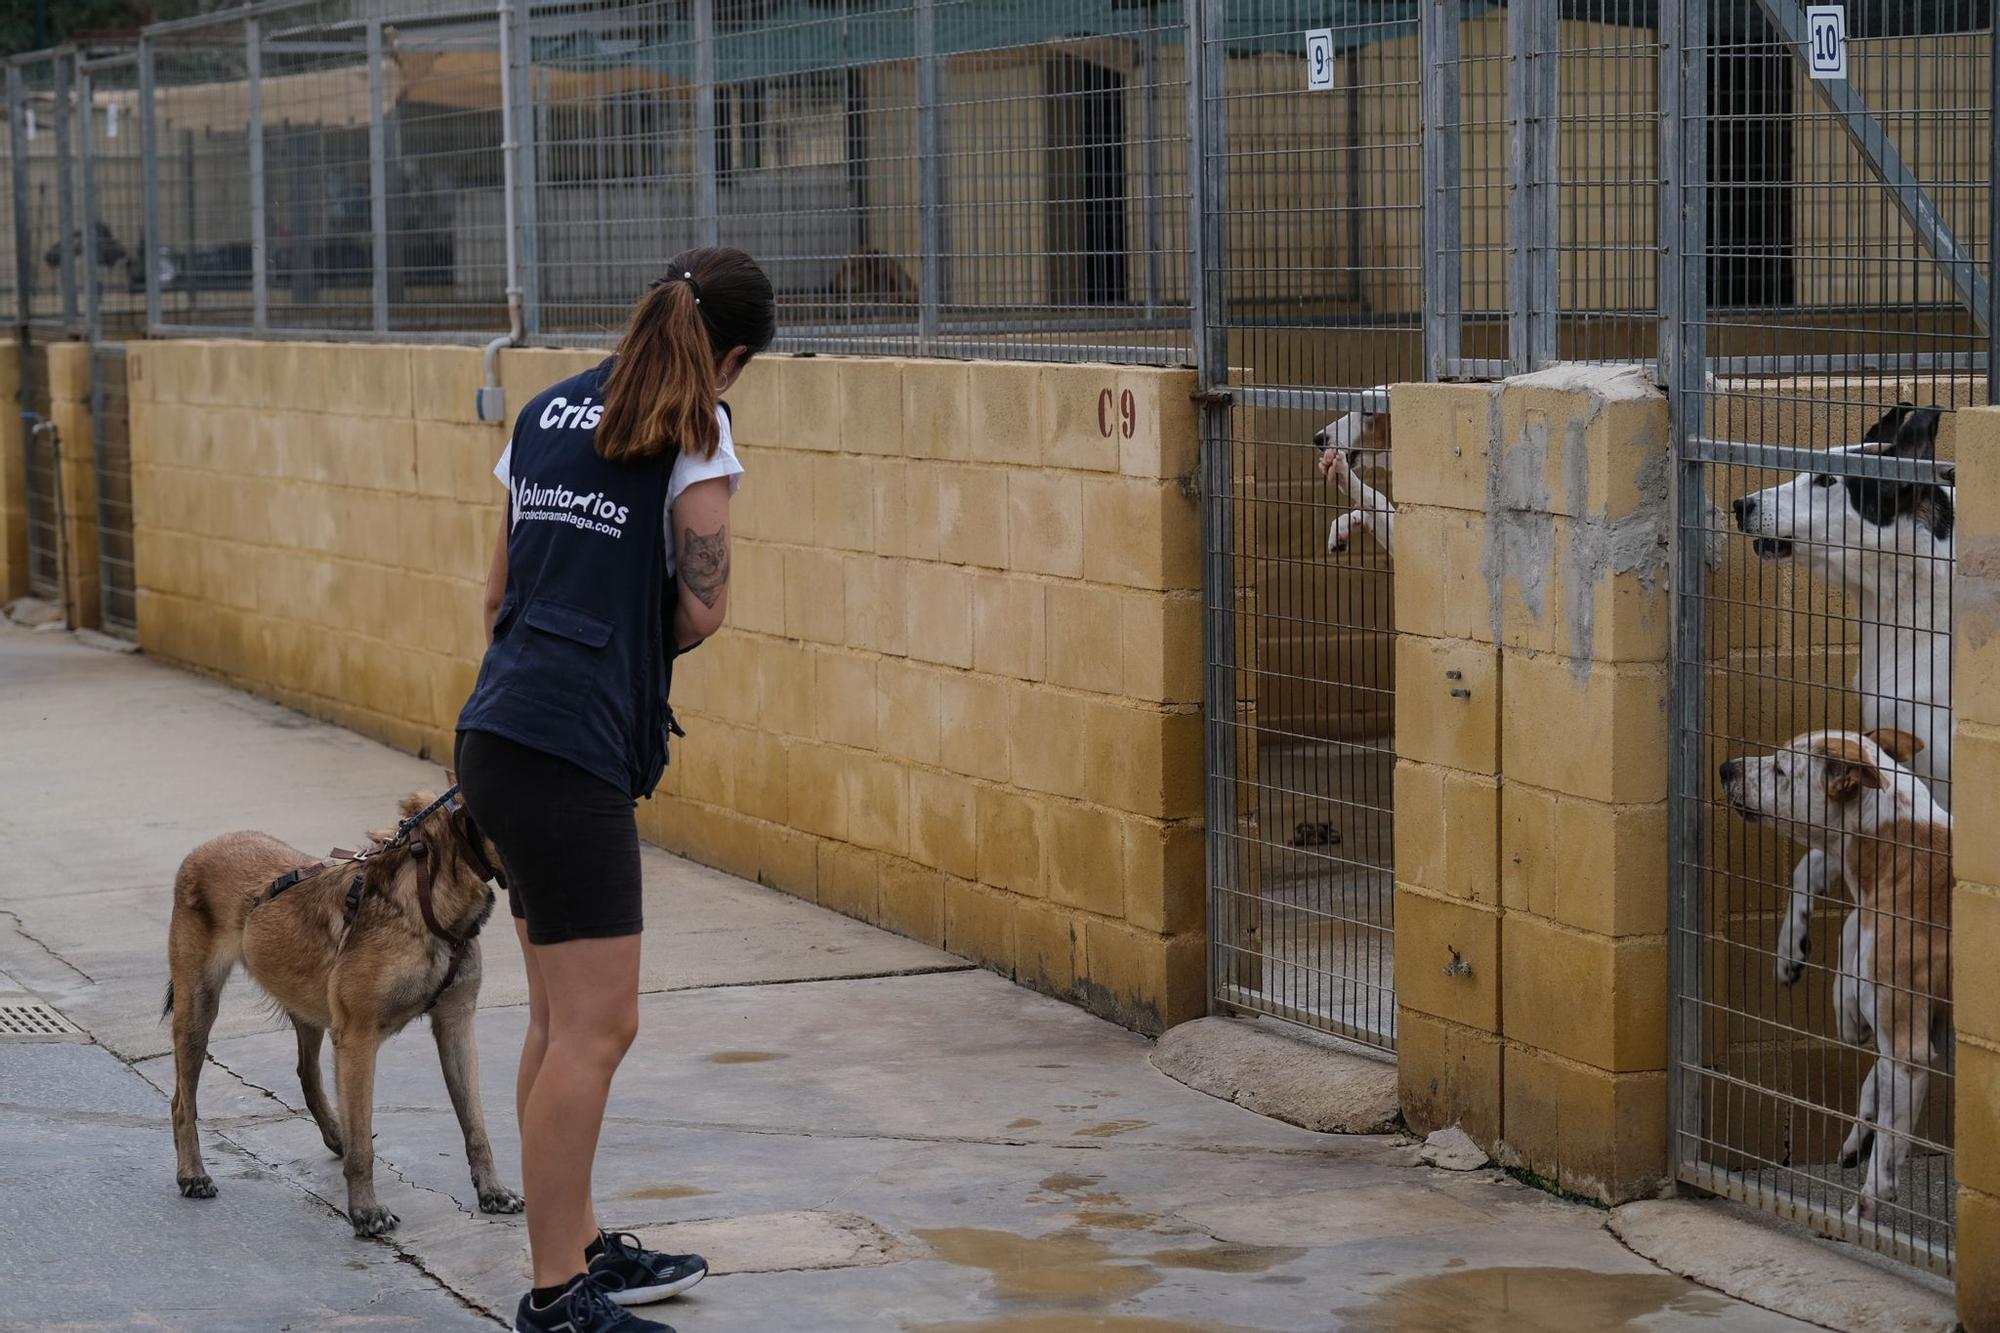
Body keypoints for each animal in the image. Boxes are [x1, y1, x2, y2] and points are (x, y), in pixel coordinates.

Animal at [165, 784, 524, 1232]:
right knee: (182, 1102)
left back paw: (336, 1133)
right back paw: (192, 1173)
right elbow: (364, 1145)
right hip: (198, 1011)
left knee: (307, 1072)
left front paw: (492, 1190)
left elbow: (475, 1123)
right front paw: (366, 1211)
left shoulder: (455, 1025)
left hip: (308, 1009)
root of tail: (203, 849)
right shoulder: (358, 1040)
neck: (427, 895)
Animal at [1720, 728, 1952, 1216]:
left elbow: (1884, 1170)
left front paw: (1860, 1213)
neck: (1898, 845)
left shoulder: (1908, 1047)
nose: (1725, 768)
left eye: (1781, 769)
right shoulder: (1925, 1034)